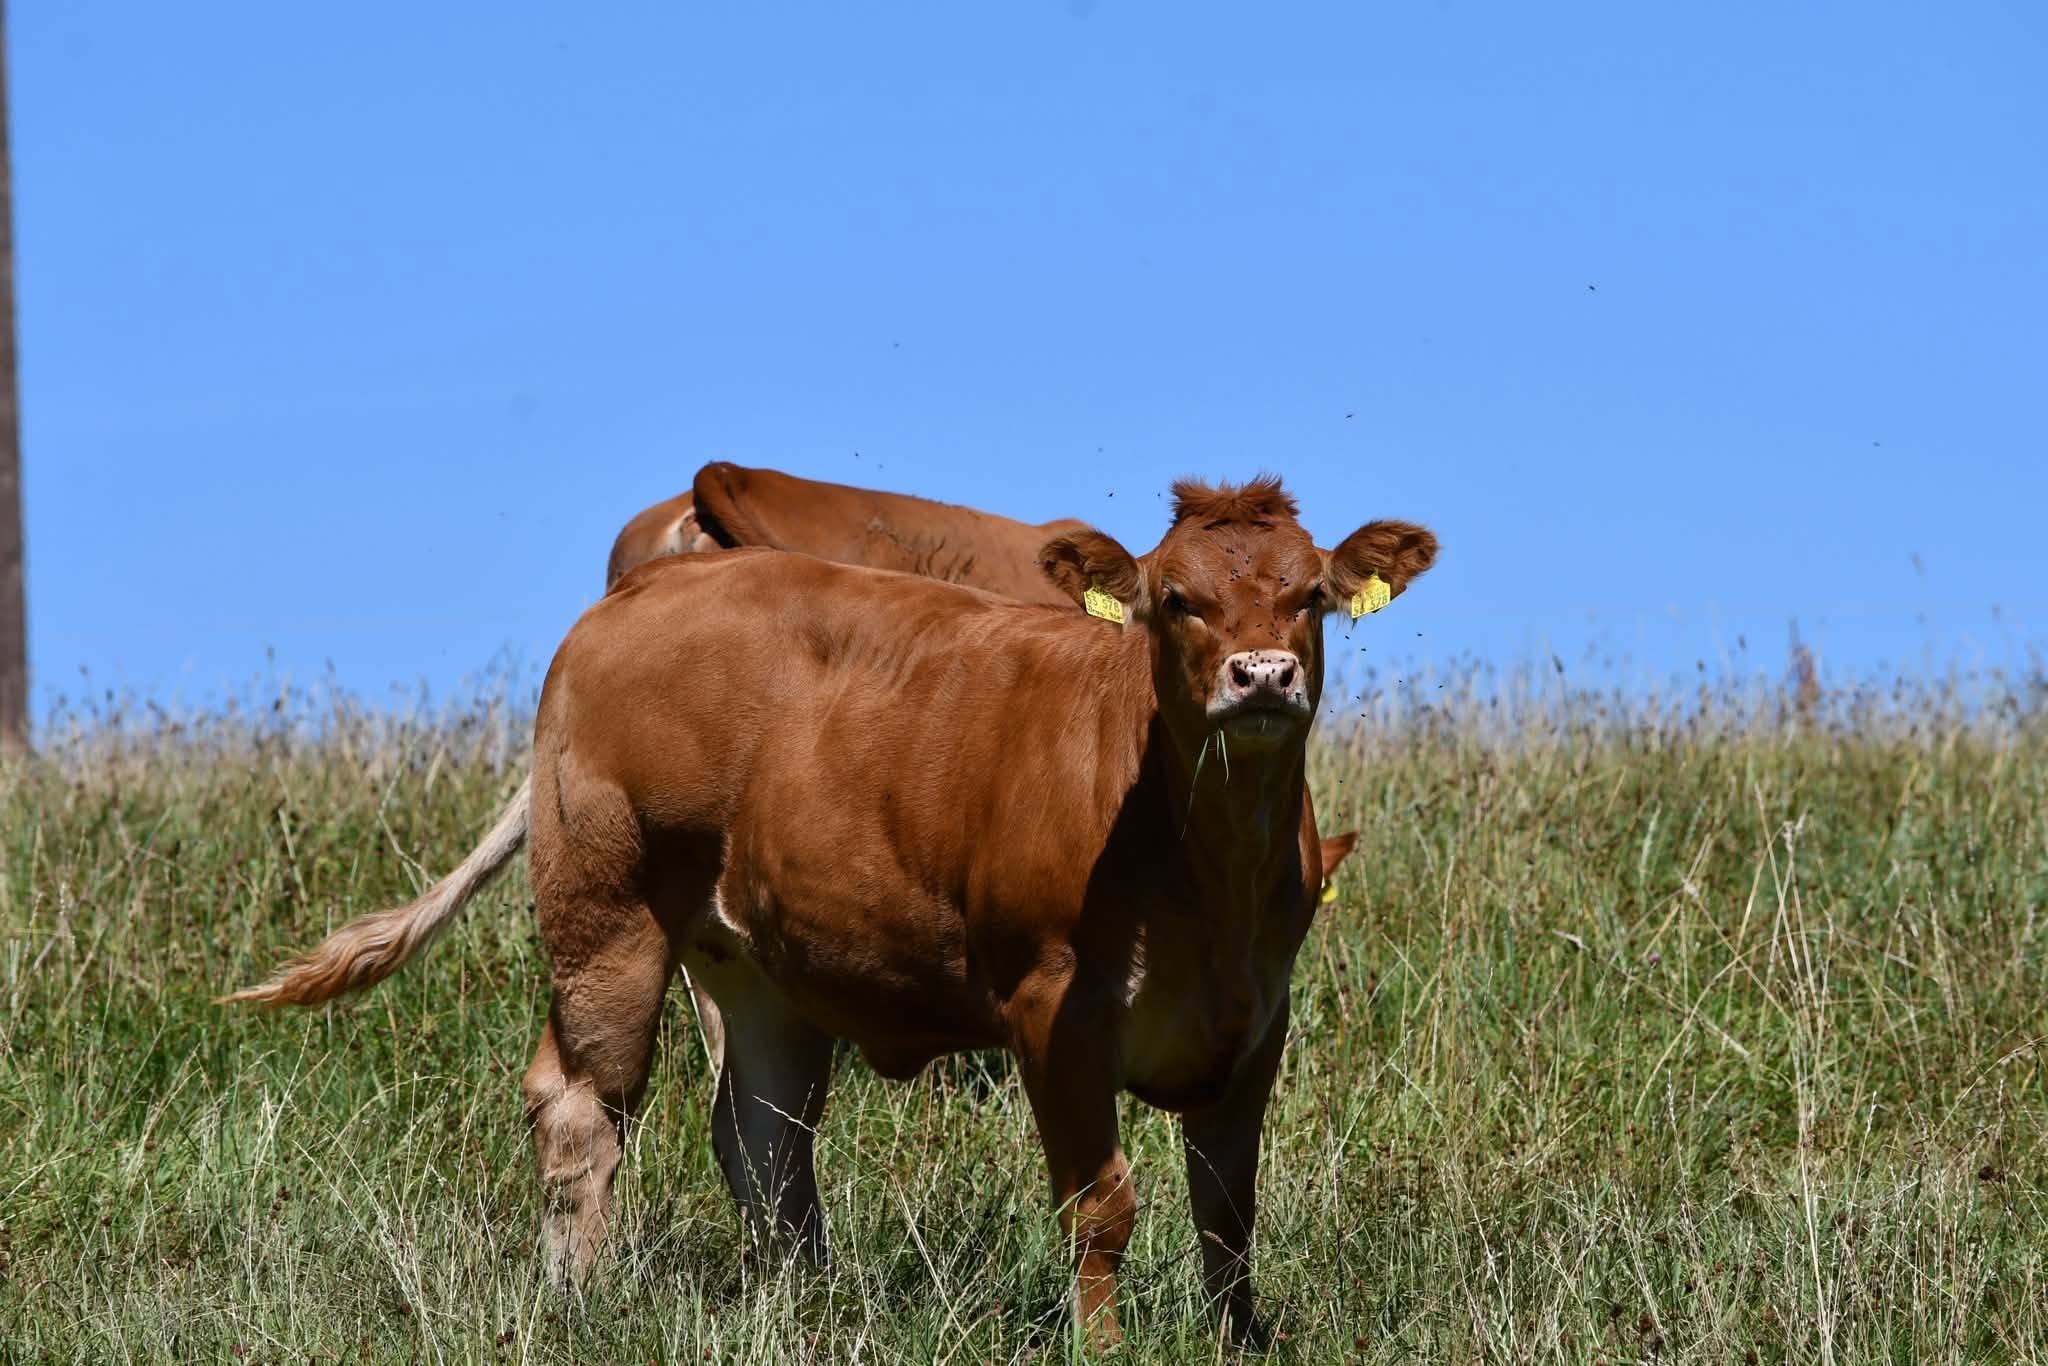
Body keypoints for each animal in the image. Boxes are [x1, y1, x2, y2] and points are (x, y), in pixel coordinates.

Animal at [227, 477, 1437, 1347]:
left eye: (1311, 596)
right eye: (1174, 599)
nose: (1261, 675)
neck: (1203, 868)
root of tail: (639, 595)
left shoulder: (1256, 1018)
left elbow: (1226, 1210)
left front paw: (1239, 1342)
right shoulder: (1055, 1011)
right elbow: (1100, 1203)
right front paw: (1104, 1348)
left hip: (759, 966)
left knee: (762, 1135)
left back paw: (805, 1304)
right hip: (606, 909)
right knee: (582, 1104)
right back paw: (575, 1297)